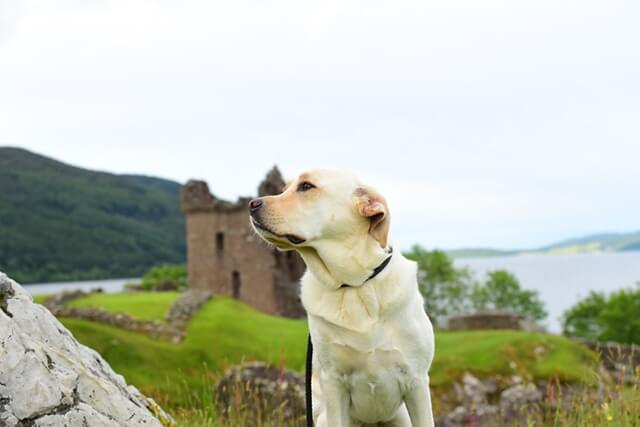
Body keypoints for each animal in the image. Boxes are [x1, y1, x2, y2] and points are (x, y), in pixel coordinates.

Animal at [250, 169, 436, 426]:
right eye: (283, 189)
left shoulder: (416, 381)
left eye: (306, 186)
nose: (252, 204)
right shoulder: (334, 383)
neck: (353, 284)